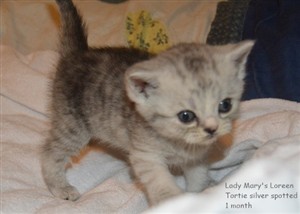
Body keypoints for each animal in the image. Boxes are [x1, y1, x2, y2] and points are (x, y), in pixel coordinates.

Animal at [41, 0, 253, 206]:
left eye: (225, 105)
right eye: (186, 116)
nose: (212, 129)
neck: (178, 142)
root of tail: (78, 53)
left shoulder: (196, 156)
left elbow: (198, 175)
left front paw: (200, 194)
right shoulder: (145, 155)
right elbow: (160, 183)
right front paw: (172, 202)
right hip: (73, 125)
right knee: (50, 152)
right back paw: (60, 187)